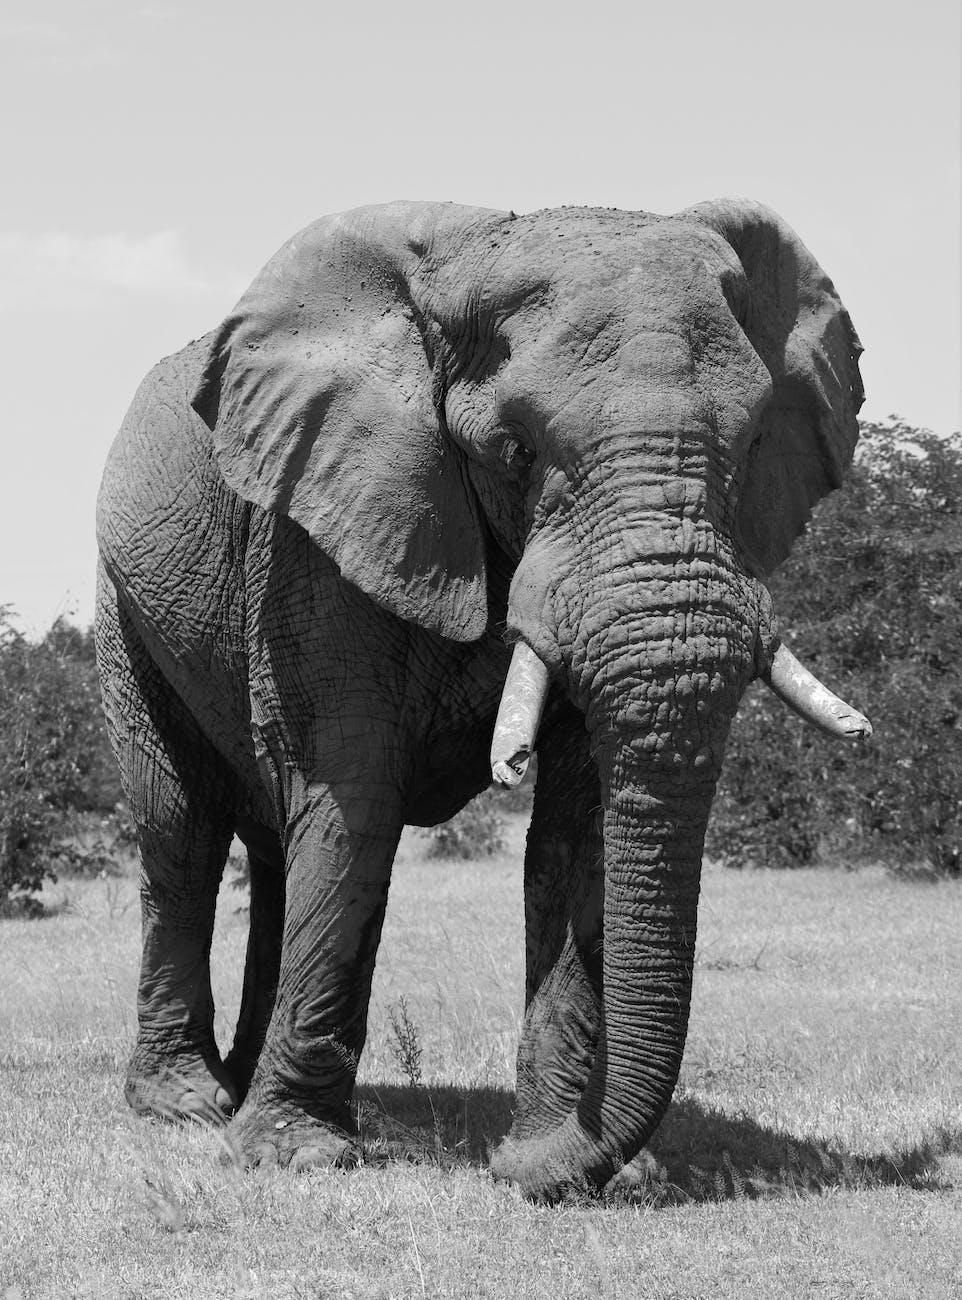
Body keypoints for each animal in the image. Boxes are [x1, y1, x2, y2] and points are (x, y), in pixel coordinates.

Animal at [95, 197, 869, 1202]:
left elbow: (578, 829)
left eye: (747, 449)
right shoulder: (316, 531)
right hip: (125, 602)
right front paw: (297, 1157)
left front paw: (563, 1158)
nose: (510, 1170)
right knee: (179, 830)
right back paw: (188, 1105)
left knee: (265, 842)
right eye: (516, 452)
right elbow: (355, 797)